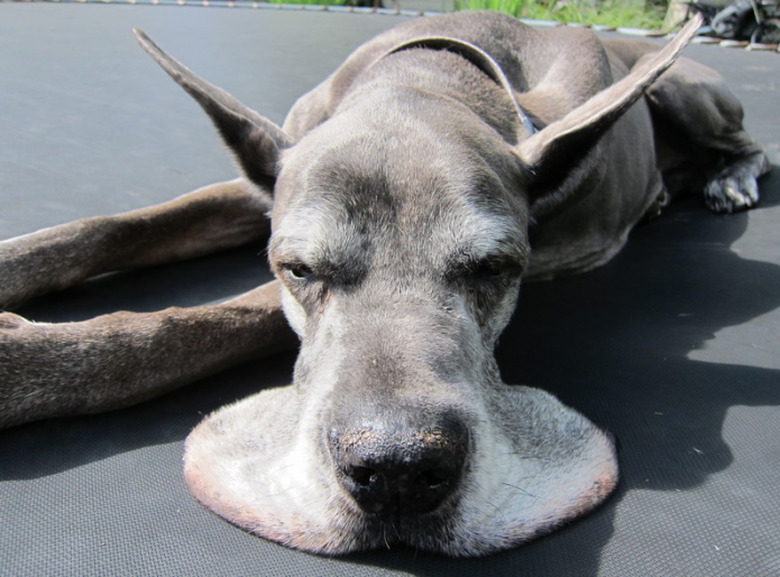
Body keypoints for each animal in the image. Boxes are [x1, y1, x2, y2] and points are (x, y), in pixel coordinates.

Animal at [0, 10, 768, 560]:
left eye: (495, 268)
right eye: (299, 269)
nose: (396, 469)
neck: (428, 77)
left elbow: (204, 320)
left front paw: (31, 363)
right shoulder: (262, 187)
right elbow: (113, 227)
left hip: (685, 90)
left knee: (746, 144)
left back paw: (729, 179)